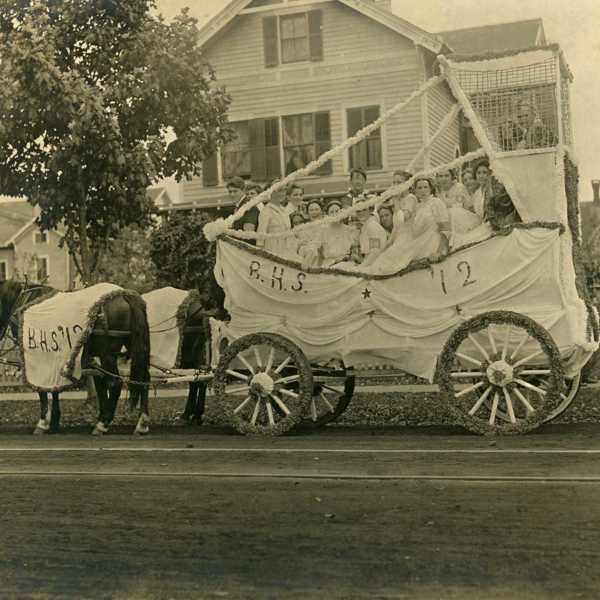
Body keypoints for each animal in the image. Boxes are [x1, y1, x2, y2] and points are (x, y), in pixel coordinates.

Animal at [0, 282, 150, 436]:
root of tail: (124, 294)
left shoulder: (37, 358)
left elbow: (42, 390)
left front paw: (43, 423)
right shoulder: (55, 359)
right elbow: (55, 388)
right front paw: (54, 422)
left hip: (107, 353)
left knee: (115, 383)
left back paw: (102, 424)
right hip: (133, 346)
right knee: (143, 378)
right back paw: (141, 423)